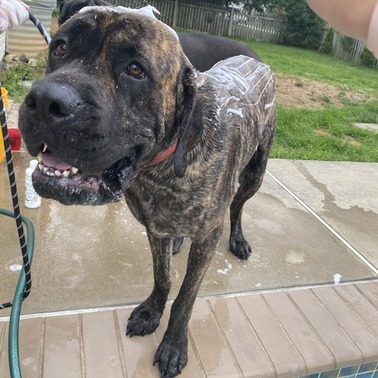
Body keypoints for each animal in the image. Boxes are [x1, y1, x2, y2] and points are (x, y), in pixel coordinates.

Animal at [18, 6, 274, 378]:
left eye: (136, 70)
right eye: (60, 49)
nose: (44, 101)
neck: (162, 168)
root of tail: (255, 60)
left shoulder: (207, 237)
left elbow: (185, 297)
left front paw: (173, 345)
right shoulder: (154, 229)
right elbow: (162, 277)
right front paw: (152, 312)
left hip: (255, 173)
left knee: (238, 206)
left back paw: (238, 239)